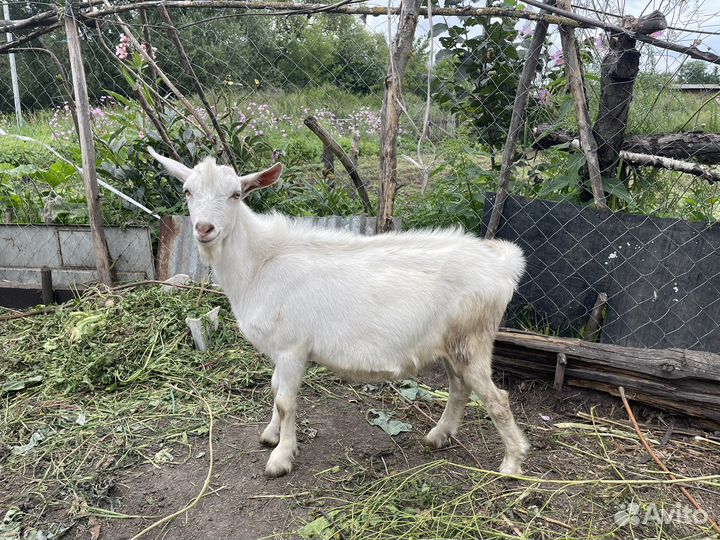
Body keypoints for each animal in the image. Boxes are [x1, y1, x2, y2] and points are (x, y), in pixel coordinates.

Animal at [149, 148, 530, 477]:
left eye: (236, 194)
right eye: (187, 191)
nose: (204, 229)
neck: (260, 263)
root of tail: (504, 264)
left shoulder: (292, 347)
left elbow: (286, 400)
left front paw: (281, 458)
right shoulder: (279, 350)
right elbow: (274, 389)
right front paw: (271, 434)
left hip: (473, 339)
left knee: (497, 398)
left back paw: (512, 463)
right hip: (450, 343)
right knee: (459, 388)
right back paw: (438, 436)